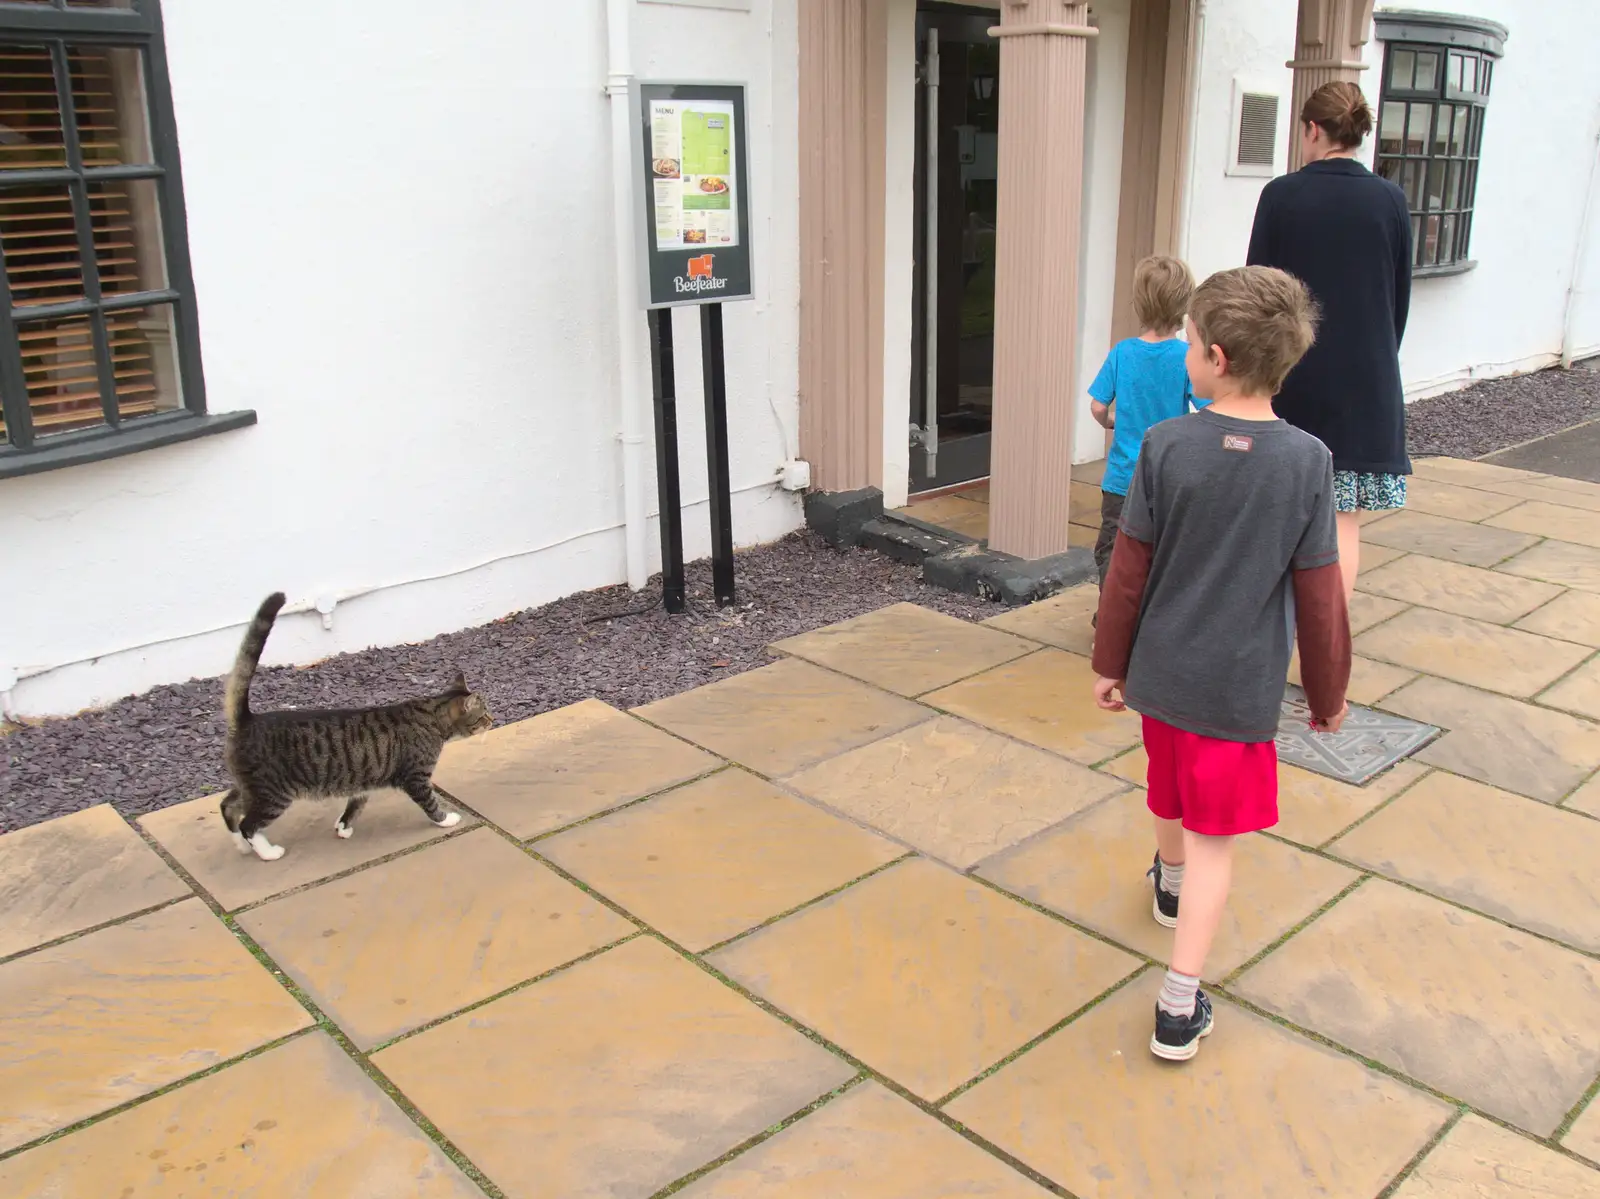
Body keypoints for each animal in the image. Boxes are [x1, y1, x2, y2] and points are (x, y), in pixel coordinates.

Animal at [219, 592, 489, 858]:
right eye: (484, 715)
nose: (492, 719)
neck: (431, 715)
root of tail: (248, 719)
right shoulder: (416, 777)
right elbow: (430, 802)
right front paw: (446, 820)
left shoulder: (366, 775)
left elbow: (355, 804)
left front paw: (343, 827)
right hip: (273, 794)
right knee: (248, 824)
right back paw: (267, 852)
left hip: (252, 788)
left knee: (228, 806)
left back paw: (241, 846)